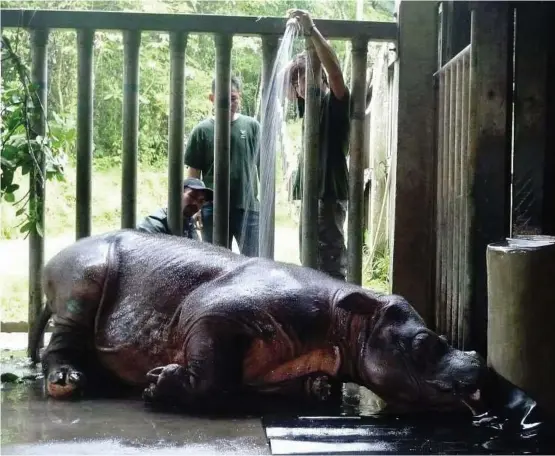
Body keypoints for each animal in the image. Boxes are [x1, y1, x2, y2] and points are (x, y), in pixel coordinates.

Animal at [32, 230, 488, 412]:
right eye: (425, 341)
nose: (478, 364)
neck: (345, 321)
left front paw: (319, 389)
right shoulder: (211, 312)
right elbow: (213, 372)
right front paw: (157, 383)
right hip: (82, 277)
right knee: (66, 332)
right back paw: (69, 385)